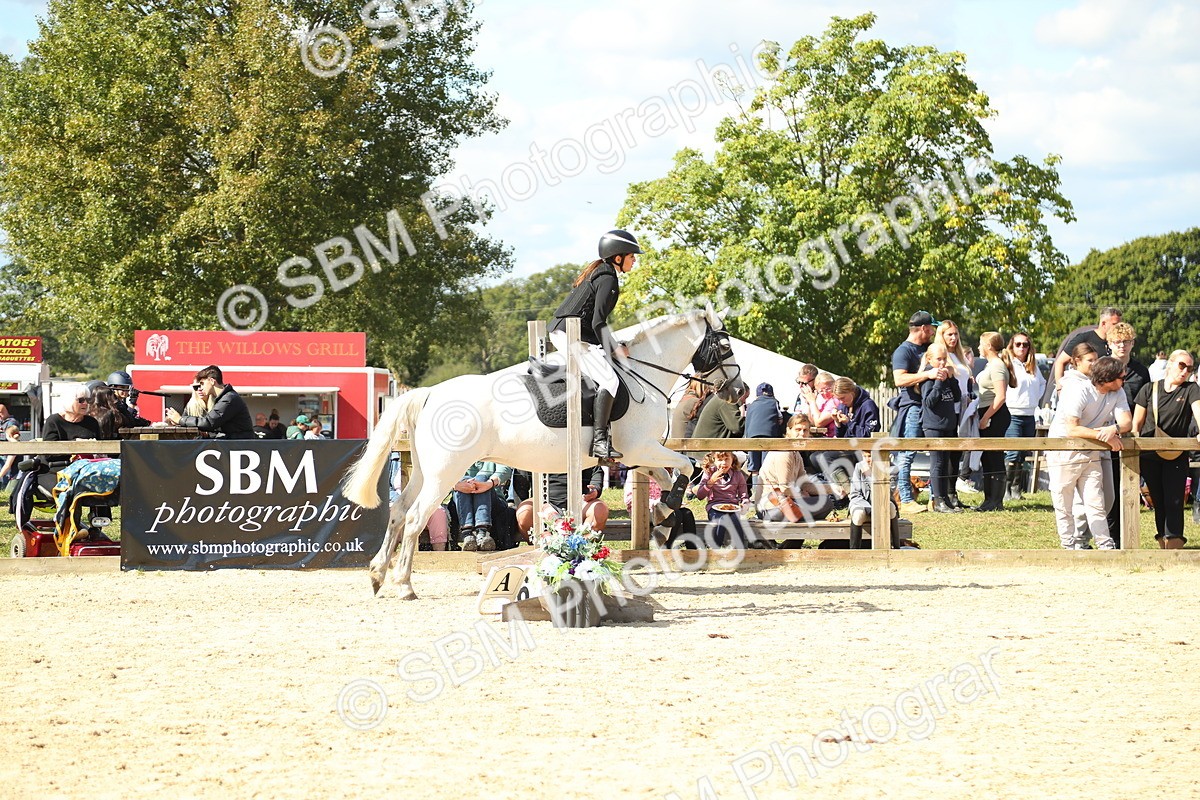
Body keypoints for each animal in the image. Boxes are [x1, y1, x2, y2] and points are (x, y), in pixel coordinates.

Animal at [342, 306, 740, 599]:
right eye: (724, 348)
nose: (738, 390)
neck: (641, 374)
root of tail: (429, 393)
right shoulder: (642, 448)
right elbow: (686, 467)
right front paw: (666, 514)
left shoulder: (636, 456)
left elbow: (675, 476)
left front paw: (664, 516)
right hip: (446, 474)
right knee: (414, 519)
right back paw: (404, 585)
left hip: (428, 471)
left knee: (398, 512)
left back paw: (378, 575)